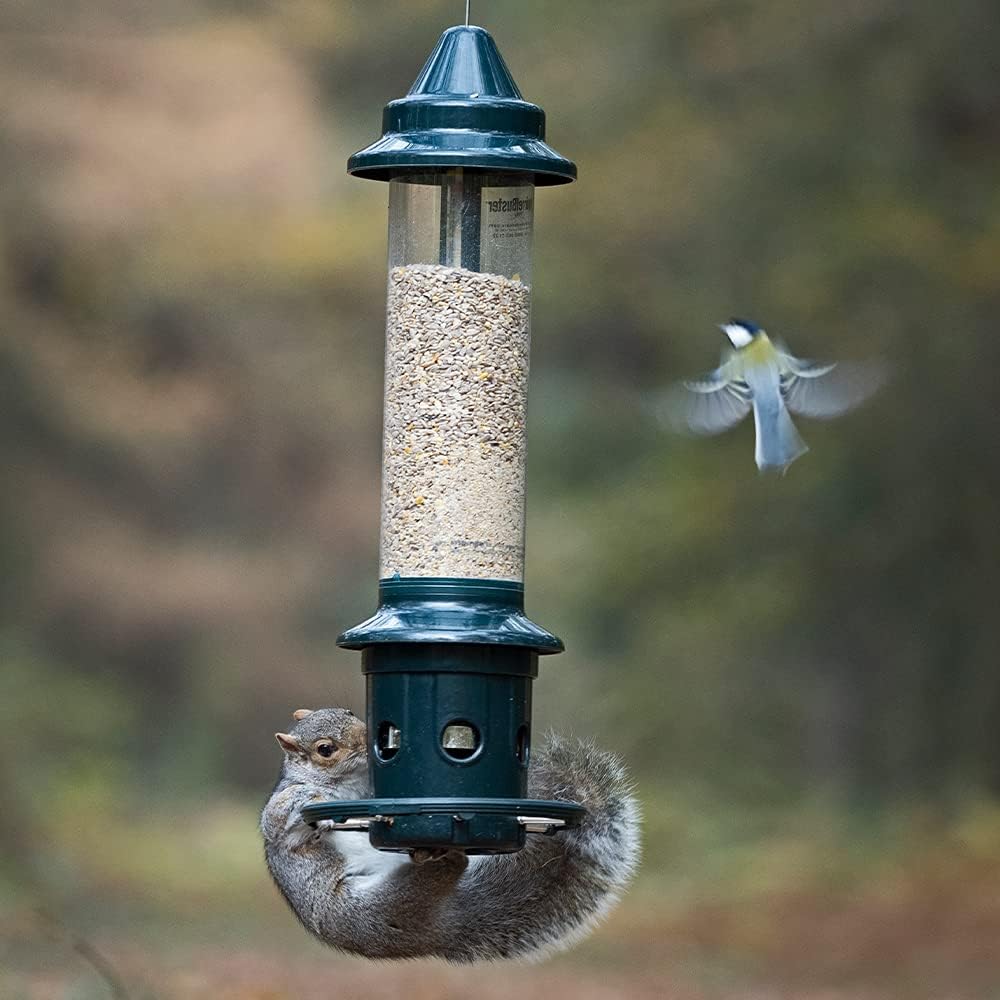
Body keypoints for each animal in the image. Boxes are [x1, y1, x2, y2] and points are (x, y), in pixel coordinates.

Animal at [260, 707, 640, 963]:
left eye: (349, 712)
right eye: (326, 749)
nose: (372, 739)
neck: (348, 783)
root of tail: (443, 929)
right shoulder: (283, 815)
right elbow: (278, 818)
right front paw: (309, 799)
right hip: (381, 908)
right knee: (443, 873)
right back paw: (443, 859)